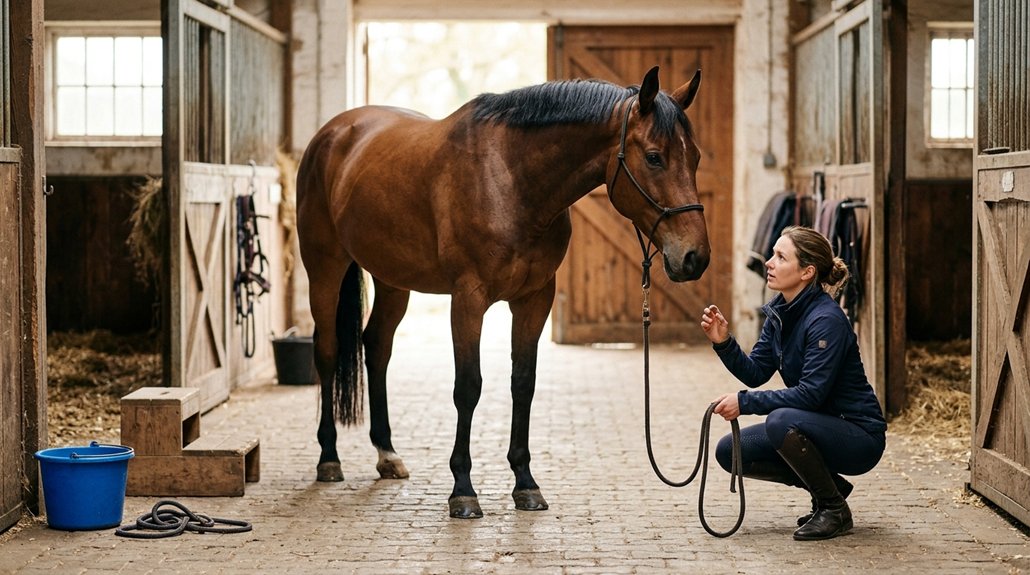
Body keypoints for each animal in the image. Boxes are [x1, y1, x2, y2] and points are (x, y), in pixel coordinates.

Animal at [296, 65, 711, 519]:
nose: (695, 257)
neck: (512, 181)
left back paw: (387, 455)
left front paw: (526, 483)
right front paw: (462, 489)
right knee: (327, 351)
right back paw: (329, 459)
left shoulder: (534, 299)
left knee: (376, 347)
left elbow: (523, 383)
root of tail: (333, 133)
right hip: (325, 268)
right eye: (654, 156)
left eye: (695, 158)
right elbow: (468, 387)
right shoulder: (468, 300)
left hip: (393, 279)